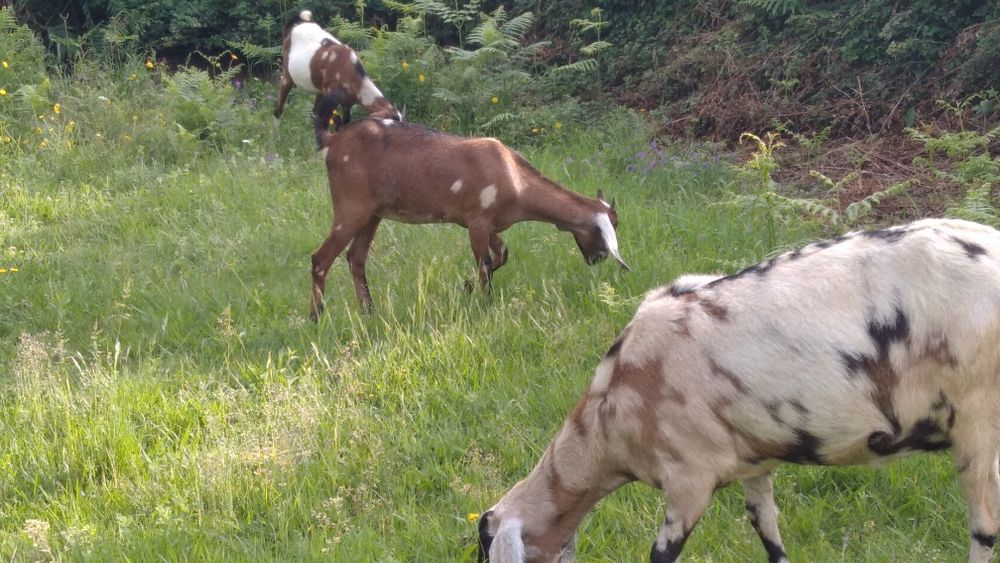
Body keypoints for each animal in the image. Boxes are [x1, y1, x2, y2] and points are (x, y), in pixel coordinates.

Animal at [309, 96, 627, 319]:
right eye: (606, 230)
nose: (595, 260)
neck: (515, 178)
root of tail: (332, 142)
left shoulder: (493, 224)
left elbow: (502, 255)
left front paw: (466, 287)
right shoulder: (476, 221)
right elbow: (484, 264)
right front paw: (483, 303)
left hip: (373, 214)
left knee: (355, 258)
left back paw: (369, 312)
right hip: (351, 206)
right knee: (320, 259)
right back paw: (317, 317)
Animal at [479, 218, 1000, 563]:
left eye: (484, 544)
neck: (606, 423)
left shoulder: (688, 478)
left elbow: (661, 554)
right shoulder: (755, 463)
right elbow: (768, 533)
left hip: (978, 416)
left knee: (984, 529)